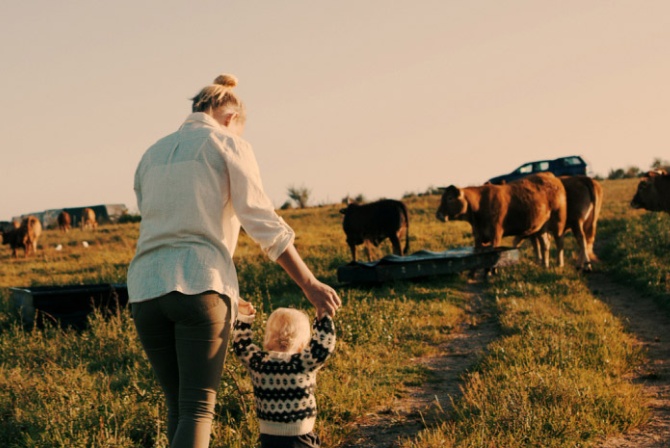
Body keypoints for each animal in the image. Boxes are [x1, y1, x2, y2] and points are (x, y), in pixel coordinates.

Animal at [436, 172, 568, 270]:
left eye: (450, 198)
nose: (438, 214)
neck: (479, 204)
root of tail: (550, 176)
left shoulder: (495, 235)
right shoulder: (478, 236)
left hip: (558, 222)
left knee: (559, 241)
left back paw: (559, 263)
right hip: (541, 227)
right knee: (544, 243)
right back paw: (543, 264)